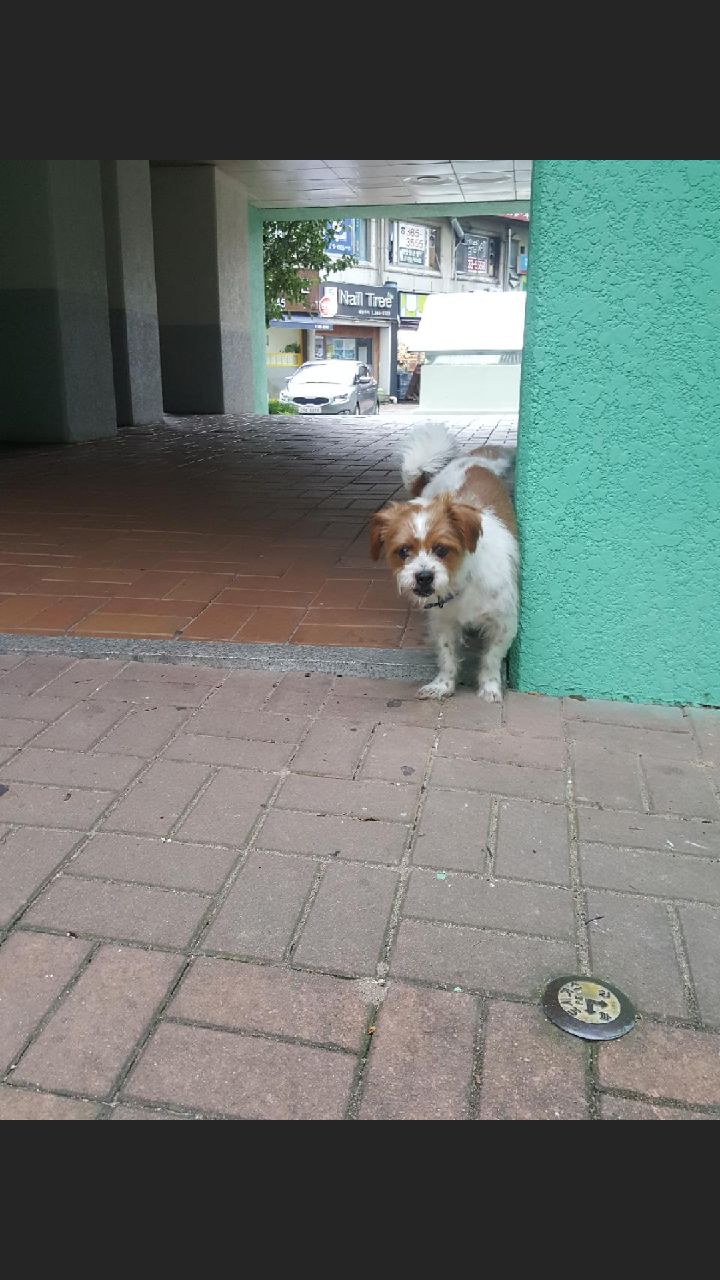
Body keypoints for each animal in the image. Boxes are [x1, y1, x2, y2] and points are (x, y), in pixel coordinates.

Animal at [370, 424, 518, 702]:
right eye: (403, 551)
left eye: (442, 549)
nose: (423, 576)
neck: (463, 582)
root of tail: (472, 460)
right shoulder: (443, 623)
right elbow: (448, 655)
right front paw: (443, 685)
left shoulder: (504, 622)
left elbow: (491, 657)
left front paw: (490, 687)